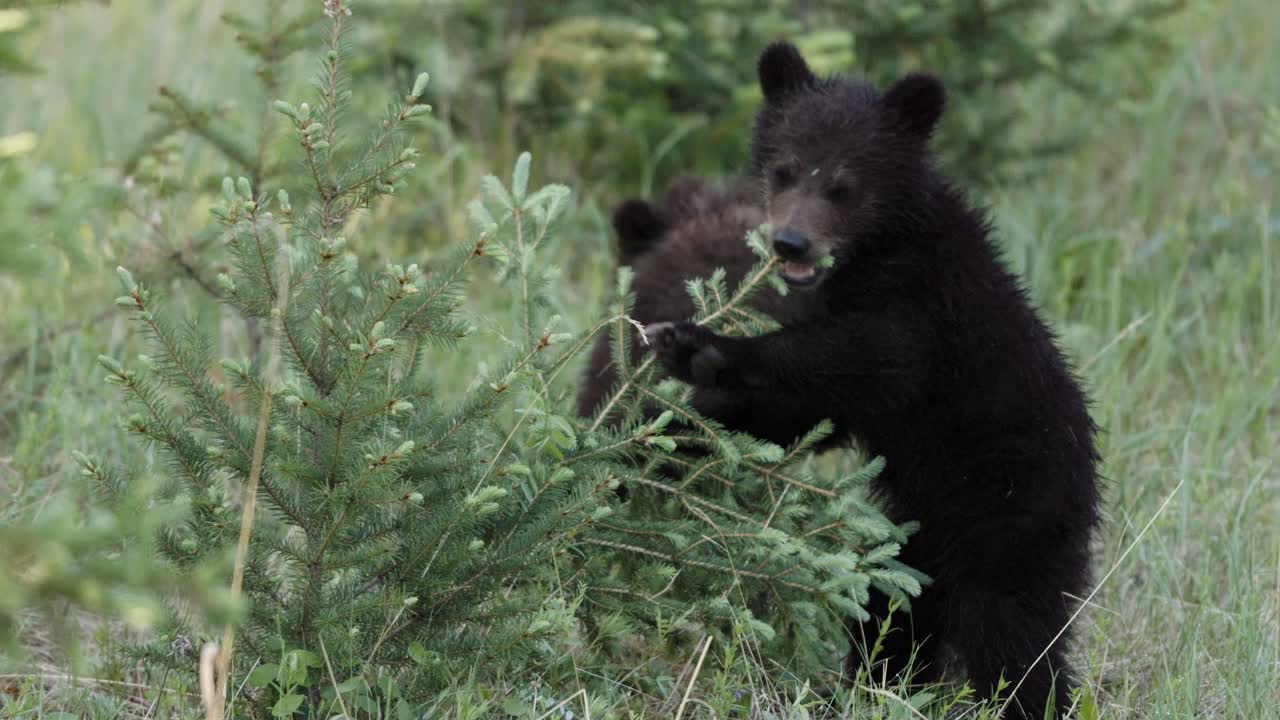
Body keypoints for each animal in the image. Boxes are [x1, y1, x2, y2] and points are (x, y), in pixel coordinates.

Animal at [590, 43, 1101, 719]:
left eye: (843, 184)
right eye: (782, 169)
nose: (789, 242)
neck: (877, 248)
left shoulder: (924, 306)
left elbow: (865, 359)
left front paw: (698, 345)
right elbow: (796, 411)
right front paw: (653, 432)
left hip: (1009, 508)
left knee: (1014, 633)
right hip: (911, 542)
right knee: (897, 611)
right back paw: (876, 684)